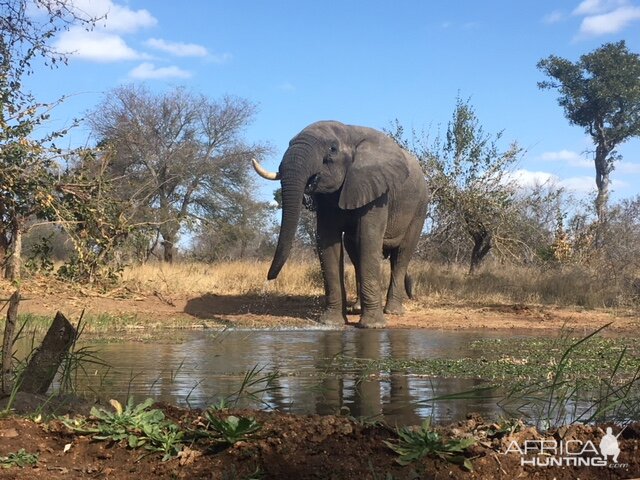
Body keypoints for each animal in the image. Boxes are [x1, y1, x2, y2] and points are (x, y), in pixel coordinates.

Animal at [252, 122, 428, 328]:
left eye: (332, 149)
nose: (269, 278)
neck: (350, 131)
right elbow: (328, 241)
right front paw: (331, 323)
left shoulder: (377, 190)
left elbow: (369, 238)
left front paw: (372, 326)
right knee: (355, 250)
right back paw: (356, 309)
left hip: (419, 208)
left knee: (401, 255)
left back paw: (393, 311)